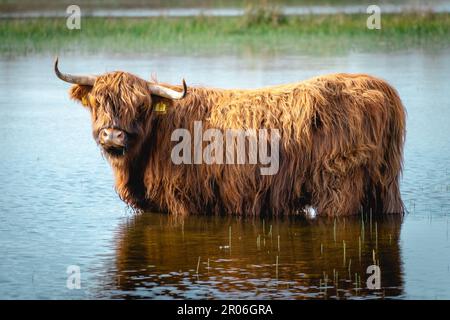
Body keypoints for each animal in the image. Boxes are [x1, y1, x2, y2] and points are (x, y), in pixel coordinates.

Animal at [54, 57, 406, 218]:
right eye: (97, 102)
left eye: (141, 106)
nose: (113, 134)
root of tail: (378, 86)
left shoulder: (182, 200)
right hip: (384, 185)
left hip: (341, 185)